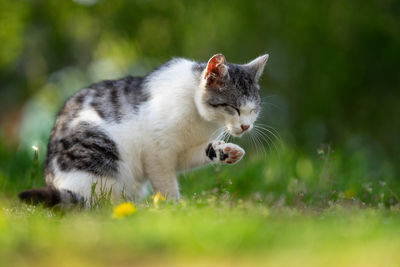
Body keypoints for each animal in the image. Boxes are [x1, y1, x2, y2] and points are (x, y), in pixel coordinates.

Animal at [18, 52, 268, 207]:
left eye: (253, 110)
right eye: (234, 108)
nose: (246, 126)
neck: (201, 120)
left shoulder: (181, 152)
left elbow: (195, 154)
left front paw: (225, 151)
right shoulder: (156, 151)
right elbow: (165, 183)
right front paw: (175, 210)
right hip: (100, 153)